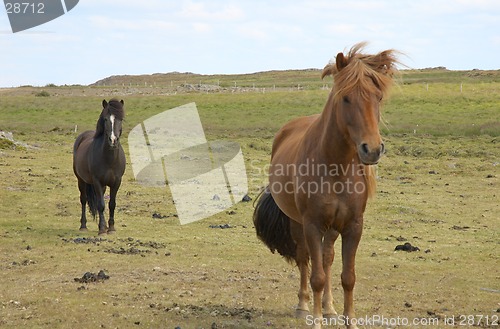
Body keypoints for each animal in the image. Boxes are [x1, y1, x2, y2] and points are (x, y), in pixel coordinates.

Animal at [73, 98, 126, 234]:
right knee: (83, 199)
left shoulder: (116, 182)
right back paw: (83, 226)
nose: (113, 140)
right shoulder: (96, 181)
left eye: (121, 119)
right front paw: (102, 229)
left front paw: (111, 228)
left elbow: (112, 204)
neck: (109, 160)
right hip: (81, 180)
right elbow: (101, 205)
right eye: (106, 119)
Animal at [254, 42, 398, 326]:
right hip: (298, 223)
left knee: (328, 258)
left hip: (332, 228)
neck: (336, 168)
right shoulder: (312, 224)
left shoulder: (353, 226)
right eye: (346, 98)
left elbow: (348, 277)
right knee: (305, 259)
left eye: (378, 97)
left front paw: (349, 320)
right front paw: (316, 320)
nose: (372, 149)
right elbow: (316, 276)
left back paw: (329, 307)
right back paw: (304, 306)